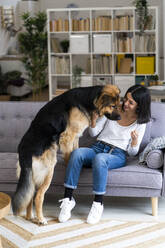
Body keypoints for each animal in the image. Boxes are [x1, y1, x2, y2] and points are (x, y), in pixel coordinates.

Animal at [11, 85, 120, 225]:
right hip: (49, 168)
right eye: (113, 106)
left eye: (119, 104)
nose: (120, 118)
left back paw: (30, 217)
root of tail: (25, 152)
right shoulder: (68, 136)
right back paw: (41, 219)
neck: (88, 99)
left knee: (29, 195)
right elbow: (70, 156)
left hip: (31, 176)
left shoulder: (75, 137)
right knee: (38, 196)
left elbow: (76, 150)